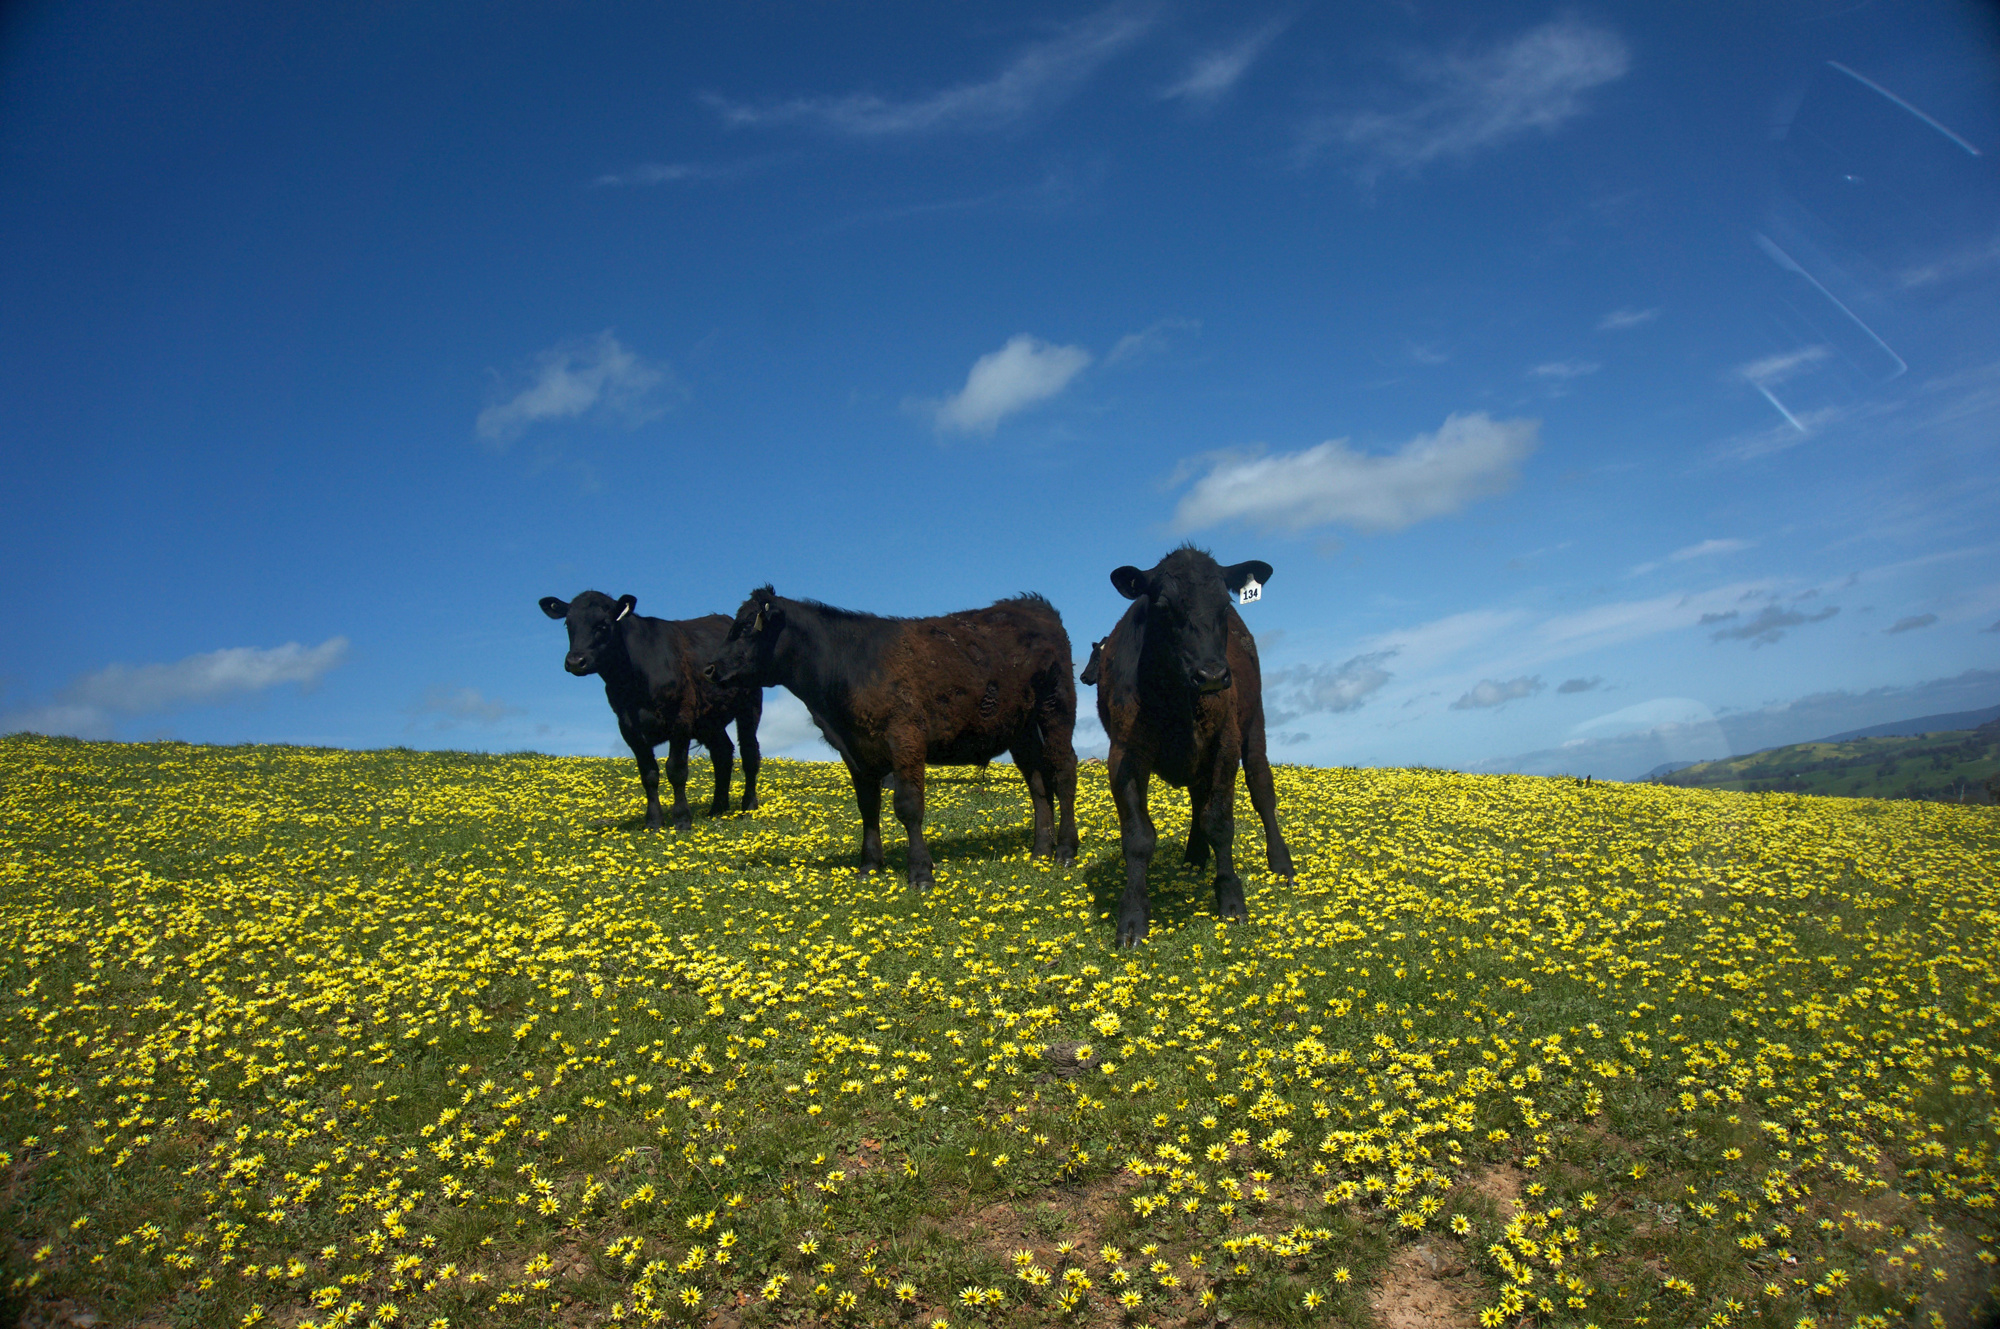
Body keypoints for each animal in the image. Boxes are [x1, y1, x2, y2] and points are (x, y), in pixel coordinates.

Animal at [536, 592, 760, 832]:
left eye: (603, 624)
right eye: (568, 624)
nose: (576, 661)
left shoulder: (680, 718)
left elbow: (676, 770)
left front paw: (682, 819)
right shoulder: (628, 726)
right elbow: (648, 774)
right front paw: (653, 822)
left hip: (749, 706)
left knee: (749, 753)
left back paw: (749, 807)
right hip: (709, 719)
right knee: (722, 754)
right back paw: (717, 808)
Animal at [708, 588, 1080, 888]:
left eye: (746, 628)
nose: (710, 669)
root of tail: (1033, 604)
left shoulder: (905, 738)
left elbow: (908, 806)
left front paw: (921, 872)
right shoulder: (856, 750)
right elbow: (867, 807)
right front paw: (869, 865)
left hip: (1057, 707)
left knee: (1063, 771)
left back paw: (1065, 850)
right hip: (1021, 727)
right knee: (1038, 783)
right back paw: (1040, 850)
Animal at [1088, 548, 1288, 944]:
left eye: (1225, 604)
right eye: (1164, 605)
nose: (1211, 675)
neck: (1176, 702)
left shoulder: (1225, 743)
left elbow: (1220, 822)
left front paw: (1231, 899)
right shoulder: (1124, 753)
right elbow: (1138, 836)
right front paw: (1132, 916)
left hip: (1253, 723)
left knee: (1261, 789)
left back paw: (1280, 863)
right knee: (1199, 797)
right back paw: (1195, 856)